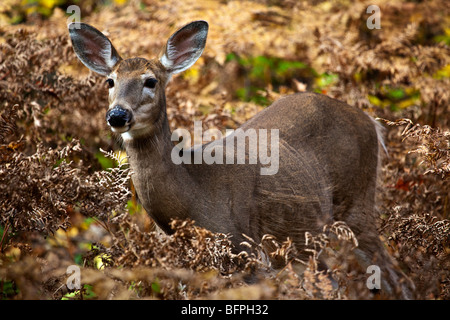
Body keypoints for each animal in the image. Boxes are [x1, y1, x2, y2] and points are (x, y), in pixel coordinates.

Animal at [69, 21, 414, 298]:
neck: (193, 200)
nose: (117, 115)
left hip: (357, 204)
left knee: (396, 277)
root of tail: (371, 121)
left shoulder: (245, 251)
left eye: (150, 81)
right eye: (110, 81)